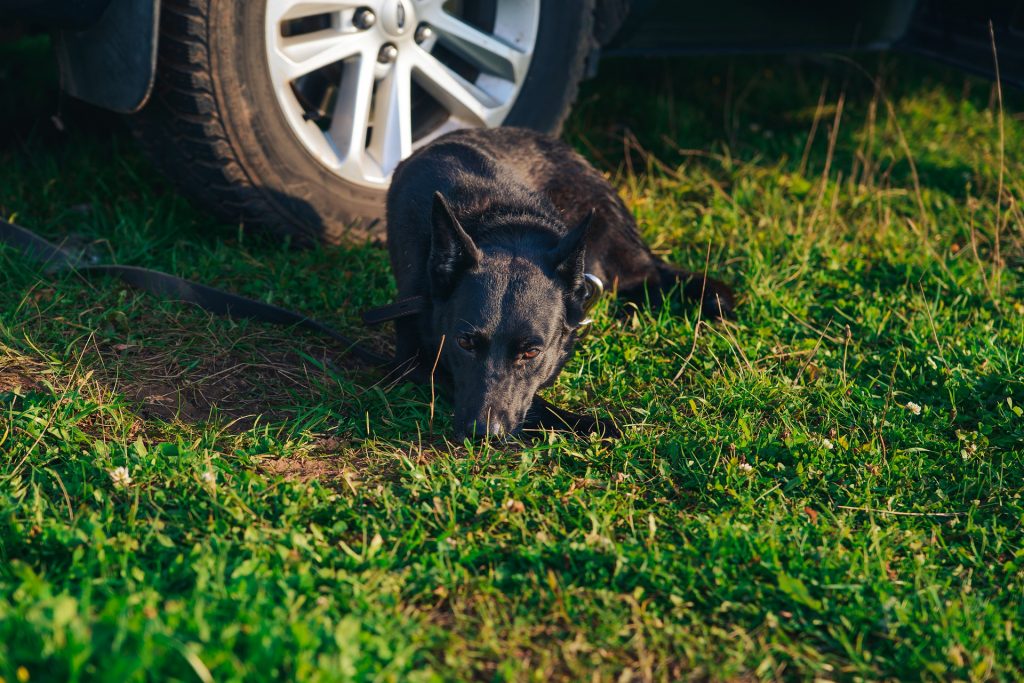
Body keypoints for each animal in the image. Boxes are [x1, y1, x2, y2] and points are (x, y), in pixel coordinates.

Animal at [385, 127, 729, 438]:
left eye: (531, 353)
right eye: (465, 343)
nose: (484, 433)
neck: (505, 225)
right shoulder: (413, 359)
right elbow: (536, 405)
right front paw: (587, 424)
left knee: (649, 276)